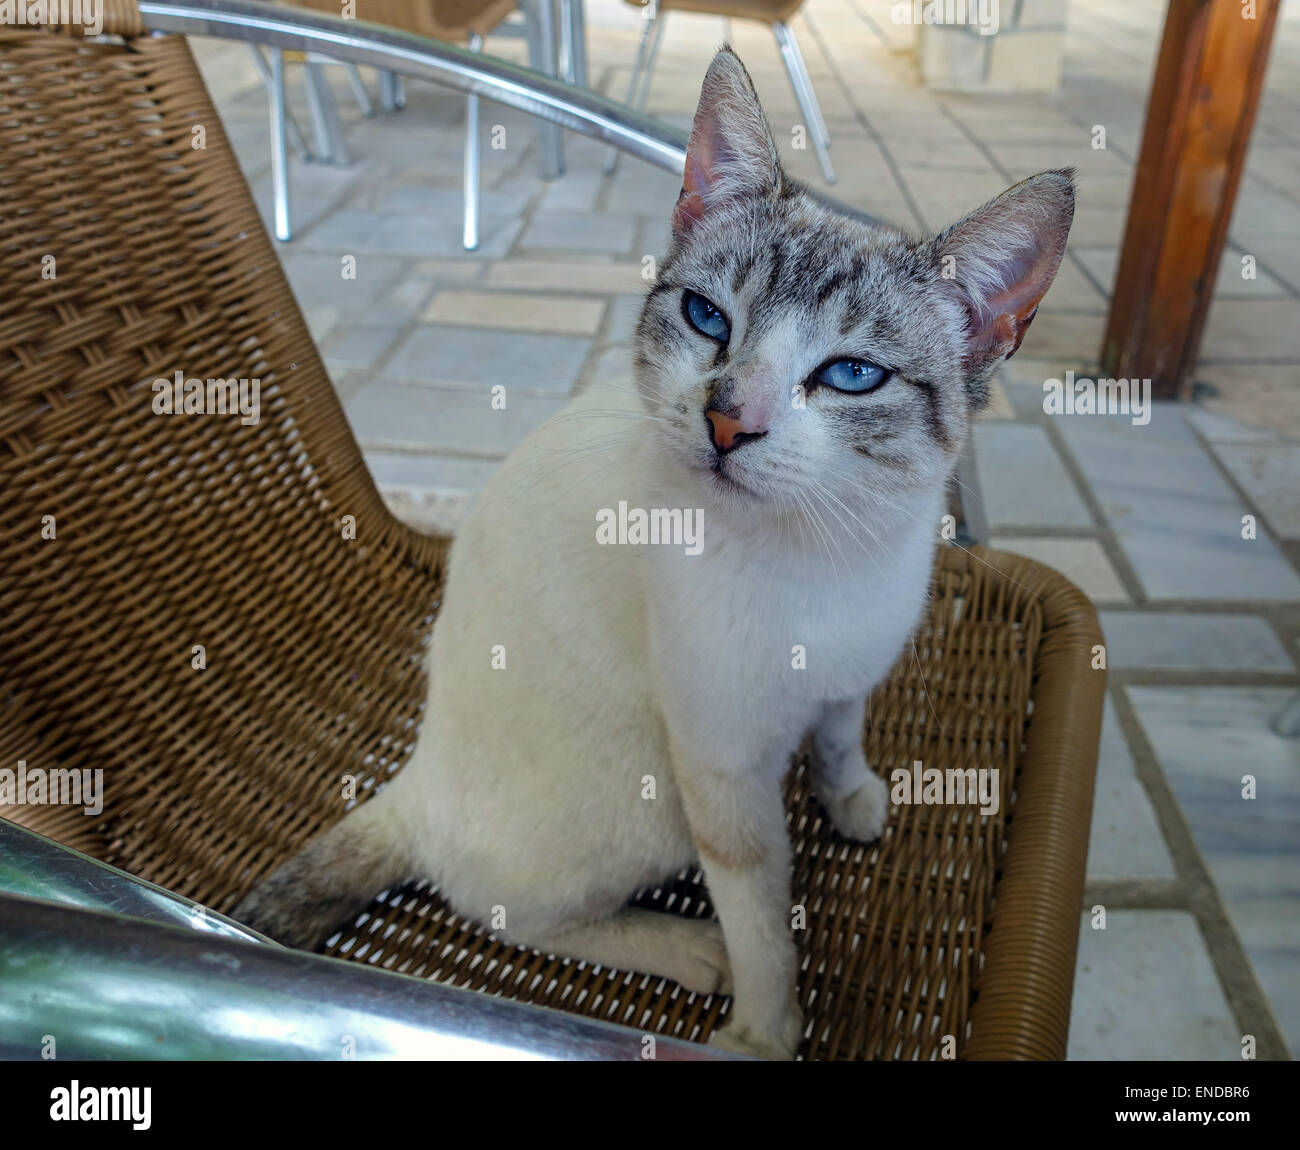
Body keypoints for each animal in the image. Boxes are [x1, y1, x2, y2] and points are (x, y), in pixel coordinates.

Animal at [236, 49, 1076, 1065]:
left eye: (852, 375)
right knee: (504, 909)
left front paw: (851, 799)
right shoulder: (722, 765)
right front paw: (765, 1032)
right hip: (649, 800)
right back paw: (689, 949)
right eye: (708, 318)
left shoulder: (852, 675)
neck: (827, 552)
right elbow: (761, 913)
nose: (728, 420)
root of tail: (416, 773)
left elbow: (840, 735)